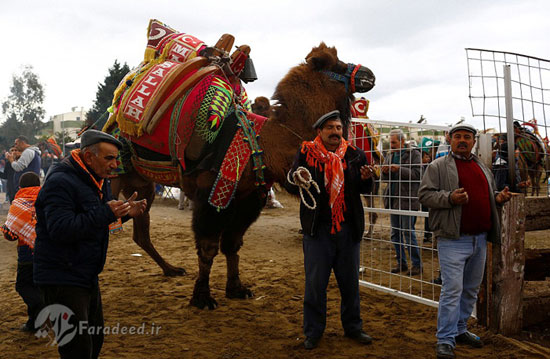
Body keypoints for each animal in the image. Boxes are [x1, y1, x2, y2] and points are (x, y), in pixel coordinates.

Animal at [110, 42, 378, 310]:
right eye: (335, 65)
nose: (369, 74)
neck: (263, 144)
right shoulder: (211, 197)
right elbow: (208, 248)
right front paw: (202, 297)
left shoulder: (249, 199)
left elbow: (232, 245)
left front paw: (236, 288)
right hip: (114, 178)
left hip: (142, 186)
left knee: (141, 234)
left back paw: (171, 269)